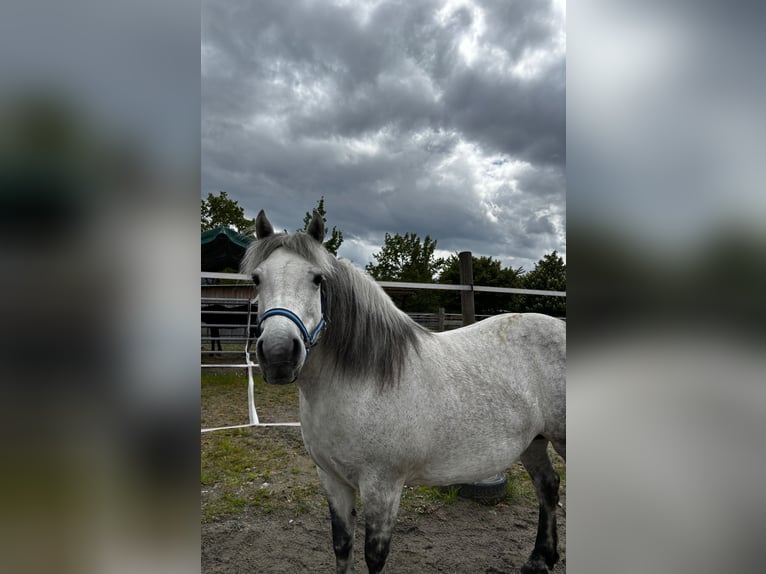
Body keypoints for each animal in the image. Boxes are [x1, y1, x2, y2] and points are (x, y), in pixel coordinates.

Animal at [240, 209, 566, 574]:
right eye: (257, 279)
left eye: (317, 279)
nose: (279, 354)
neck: (361, 384)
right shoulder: (332, 480)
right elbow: (342, 545)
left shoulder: (382, 487)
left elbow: (374, 555)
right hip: (533, 441)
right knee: (548, 487)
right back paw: (540, 559)